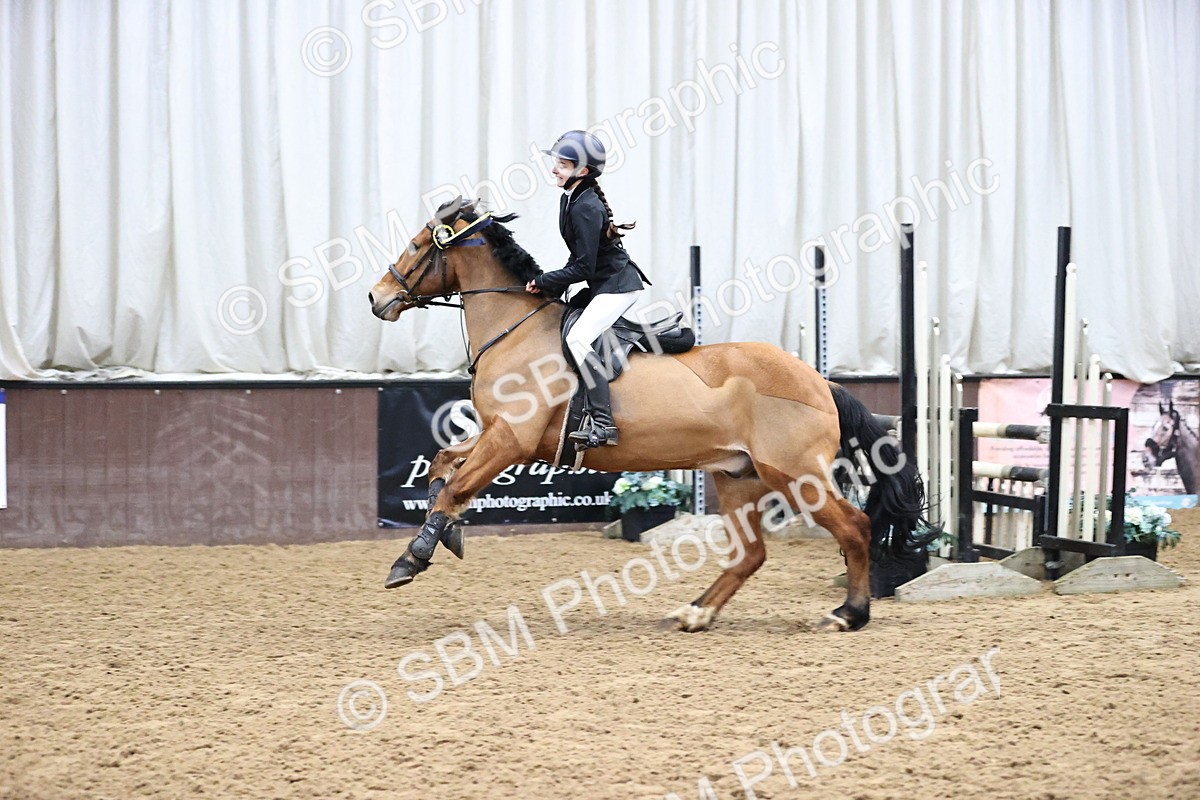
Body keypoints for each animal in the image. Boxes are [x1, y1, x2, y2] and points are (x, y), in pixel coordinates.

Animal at [368, 197, 930, 632]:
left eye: (417, 246)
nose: (377, 298)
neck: (516, 329)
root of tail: (820, 382)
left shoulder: (511, 439)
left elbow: (455, 486)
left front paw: (410, 559)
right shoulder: (497, 434)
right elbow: (443, 465)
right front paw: (447, 532)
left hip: (795, 475)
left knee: (855, 527)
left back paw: (849, 613)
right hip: (737, 475)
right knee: (751, 554)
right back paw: (695, 613)